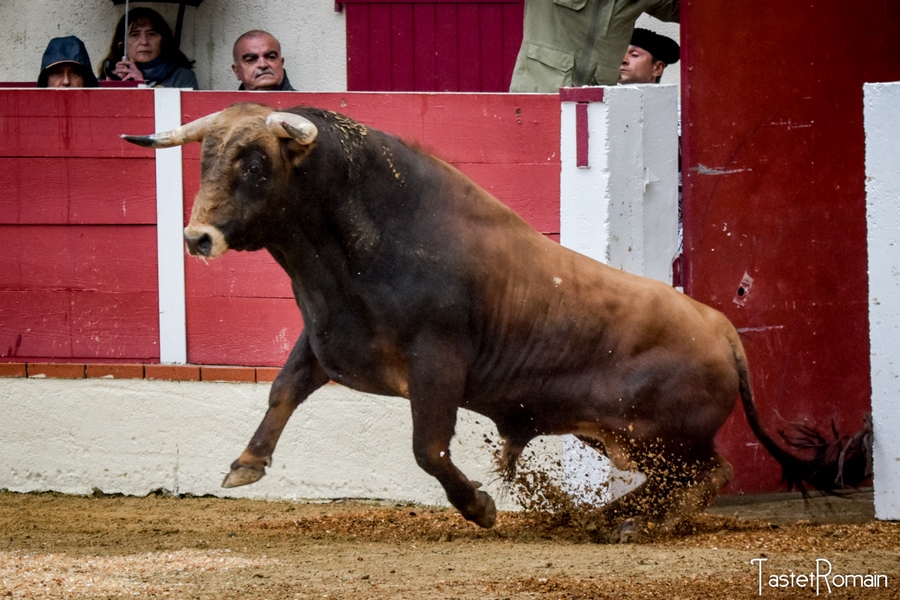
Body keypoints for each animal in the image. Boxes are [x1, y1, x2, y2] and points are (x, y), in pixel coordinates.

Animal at [121, 103, 864, 540]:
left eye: (255, 163)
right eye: (206, 158)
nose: (196, 238)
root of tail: (725, 331)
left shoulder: (437, 364)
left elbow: (428, 448)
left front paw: (479, 506)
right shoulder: (325, 339)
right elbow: (282, 390)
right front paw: (246, 464)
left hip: (658, 435)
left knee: (710, 475)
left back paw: (625, 523)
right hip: (627, 438)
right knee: (689, 478)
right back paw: (610, 517)